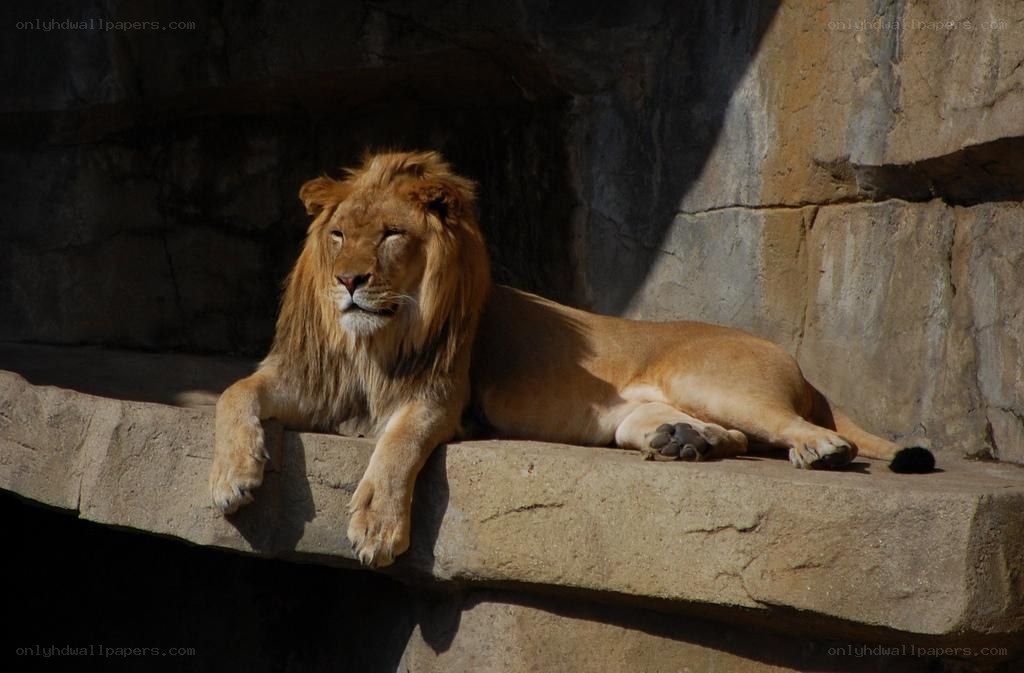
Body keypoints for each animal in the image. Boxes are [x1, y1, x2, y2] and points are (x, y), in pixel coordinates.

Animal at [210, 150, 934, 568]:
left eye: (391, 235)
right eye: (336, 234)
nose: (349, 282)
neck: (369, 344)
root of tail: (798, 363)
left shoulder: (438, 397)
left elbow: (396, 447)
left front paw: (376, 525)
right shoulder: (301, 380)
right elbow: (232, 393)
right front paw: (232, 477)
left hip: (711, 378)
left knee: (805, 430)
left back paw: (818, 450)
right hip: (642, 415)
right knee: (727, 436)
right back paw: (684, 441)